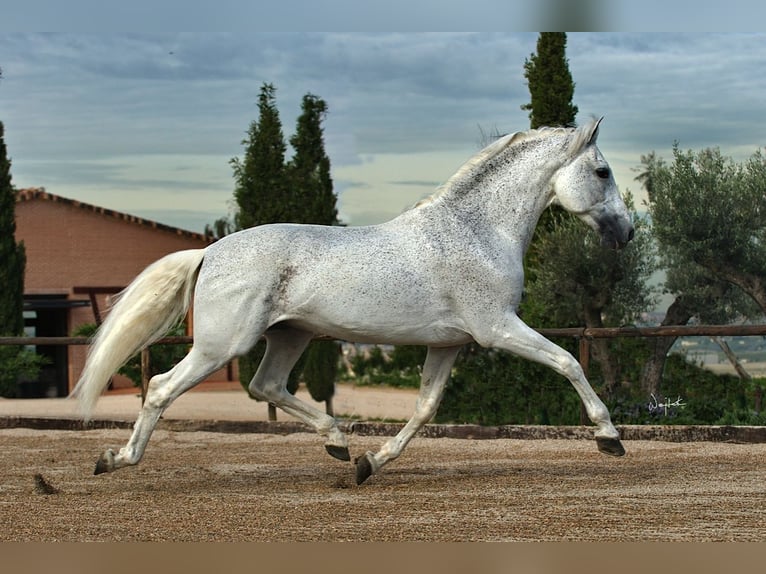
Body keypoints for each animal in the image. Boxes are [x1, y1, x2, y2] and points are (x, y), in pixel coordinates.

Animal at [72, 117, 636, 486]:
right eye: (603, 172)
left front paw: (372, 463)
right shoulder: (498, 328)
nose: (627, 232)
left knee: (265, 386)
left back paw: (339, 444)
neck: (476, 232)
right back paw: (115, 460)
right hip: (221, 345)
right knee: (162, 388)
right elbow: (567, 362)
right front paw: (610, 437)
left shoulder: (450, 344)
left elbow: (425, 407)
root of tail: (209, 252)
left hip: (290, 336)